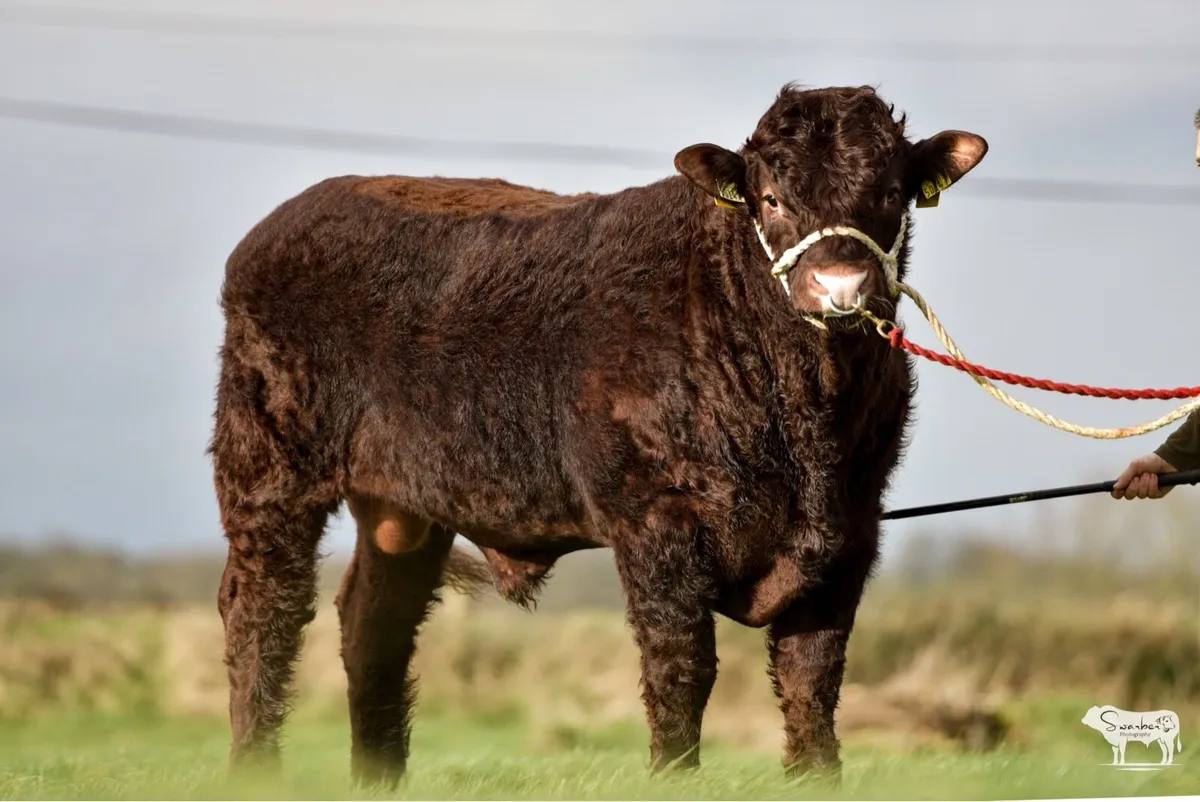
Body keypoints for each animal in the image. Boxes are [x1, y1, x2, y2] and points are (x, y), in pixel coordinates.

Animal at [207, 82, 989, 787]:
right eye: (771, 199)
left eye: (891, 193)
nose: (840, 287)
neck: (804, 418)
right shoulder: (656, 521)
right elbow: (681, 666)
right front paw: (674, 778)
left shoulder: (849, 530)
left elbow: (812, 677)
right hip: (267, 472)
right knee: (264, 612)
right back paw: (254, 770)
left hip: (403, 508)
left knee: (373, 624)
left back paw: (378, 779)